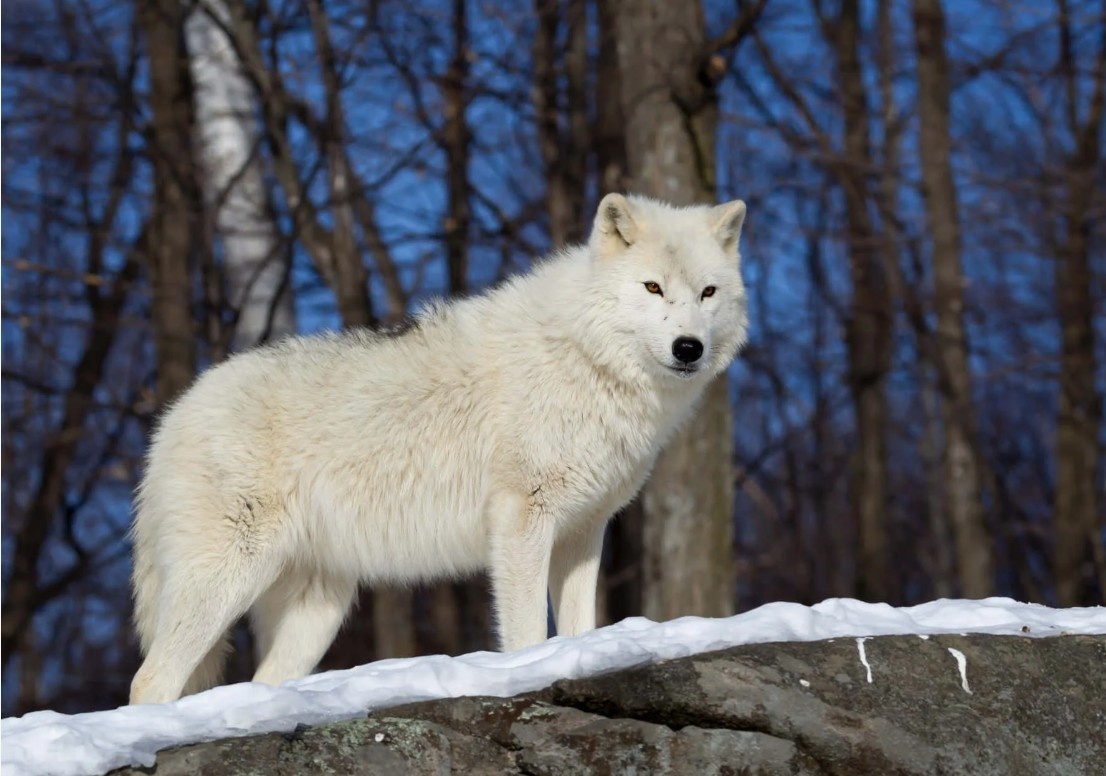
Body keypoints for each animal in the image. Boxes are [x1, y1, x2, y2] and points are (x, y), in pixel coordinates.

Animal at [129, 193, 749, 704]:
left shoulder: (583, 530)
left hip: (317, 613)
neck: (587, 358)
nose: (688, 348)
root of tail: (172, 417)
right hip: (226, 580)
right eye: (652, 288)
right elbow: (528, 631)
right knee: (149, 680)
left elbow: (579, 626)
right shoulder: (522, 517)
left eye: (708, 292)